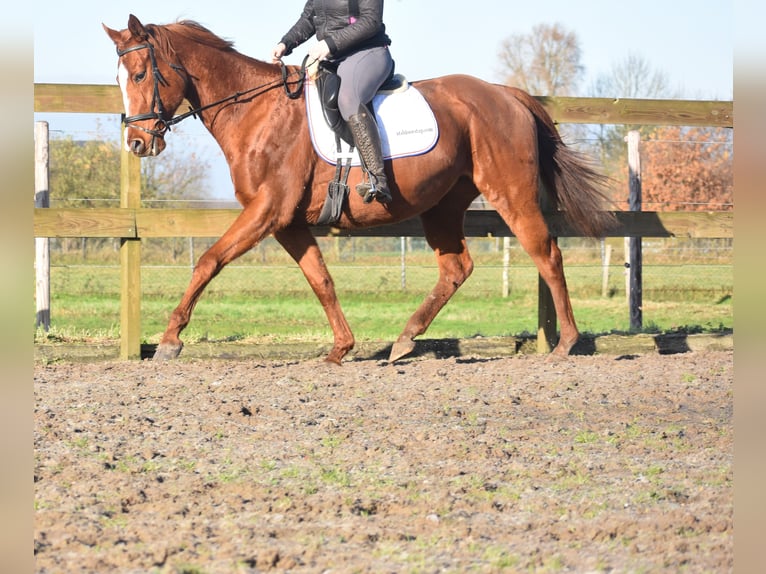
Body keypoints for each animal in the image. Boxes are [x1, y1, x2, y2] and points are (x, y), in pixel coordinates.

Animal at [103, 15, 616, 366]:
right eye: (119, 78)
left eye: (141, 75)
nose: (137, 143)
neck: (255, 112)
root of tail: (506, 94)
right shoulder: (287, 222)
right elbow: (321, 280)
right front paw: (341, 348)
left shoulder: (267, 211)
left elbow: (209, 261)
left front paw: (170, 340)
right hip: (442, 205)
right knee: (456, 268)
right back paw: (405, 340)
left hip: (510, 193)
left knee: (546, 253)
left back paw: (567, 343)